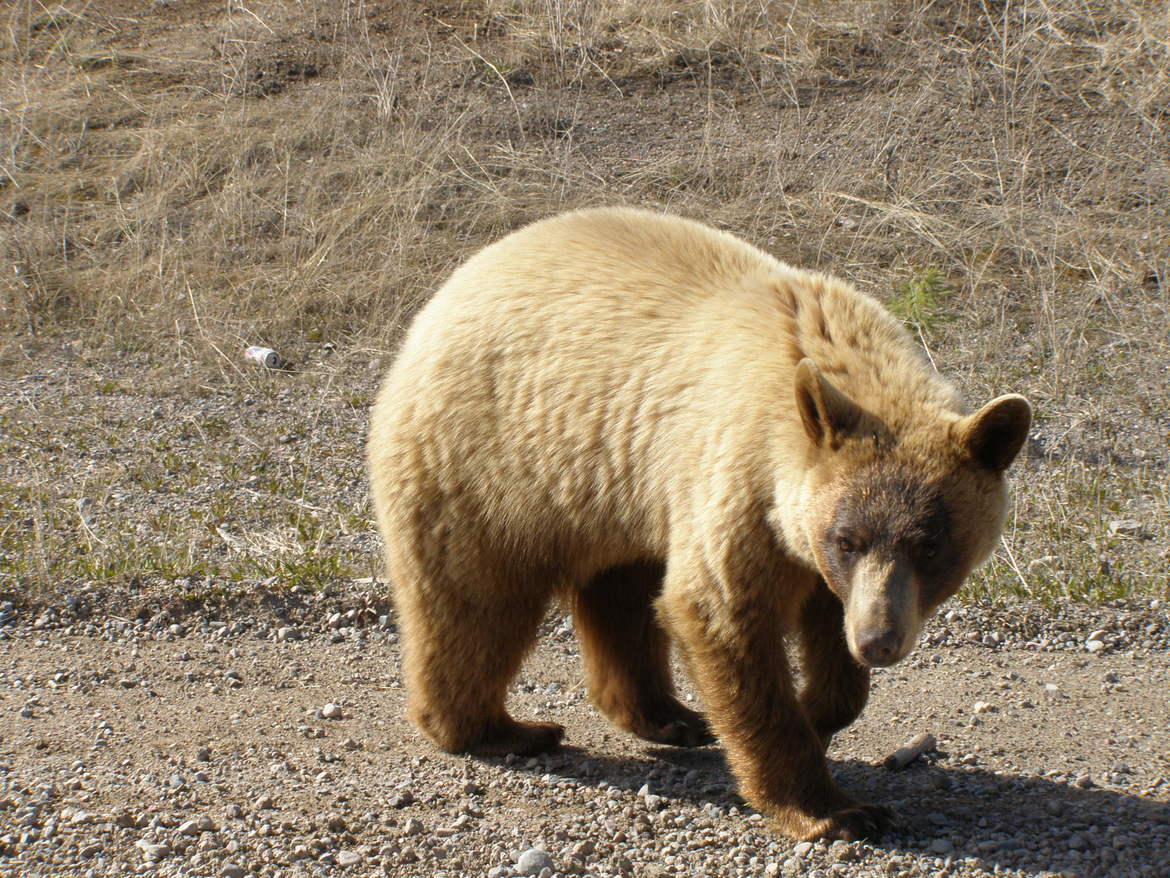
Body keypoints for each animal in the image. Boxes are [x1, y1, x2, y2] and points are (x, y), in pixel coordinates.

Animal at [367, 206, 1031, 841]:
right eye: (846, 538)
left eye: (930, 544)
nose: (878, 640)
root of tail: (439, 300)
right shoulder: (741, 483)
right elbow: (722, 613)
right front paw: (835, 809)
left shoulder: (810, 552)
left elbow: (825, 635)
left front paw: (820, 709)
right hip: (489, 465)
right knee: (475, 602)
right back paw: (500, 729)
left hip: (614, 493)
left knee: (621, 596)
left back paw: (669, 716)